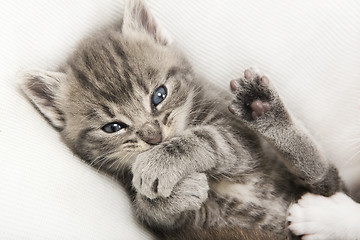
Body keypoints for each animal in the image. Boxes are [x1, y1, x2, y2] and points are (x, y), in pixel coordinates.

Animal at [19, 0, 346, 238]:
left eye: (159, 95)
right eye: (113, 127)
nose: (154, 138)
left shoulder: (242, 138)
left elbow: (213, 139)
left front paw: (165, 160)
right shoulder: (179, 226)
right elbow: (152, 212)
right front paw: (171, 196)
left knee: (320, 172)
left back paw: (268, 112)